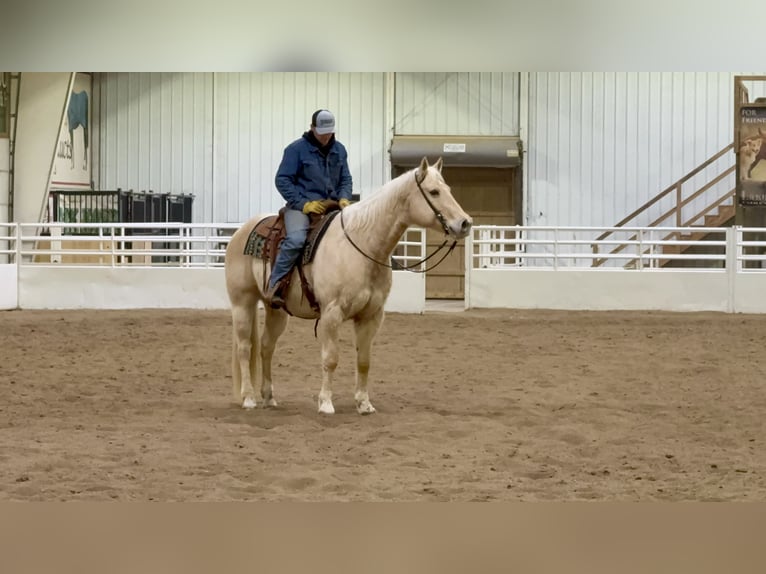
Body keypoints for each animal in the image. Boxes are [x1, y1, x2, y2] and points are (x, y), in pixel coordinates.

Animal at [224, 156, 472, 415]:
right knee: (244, 348)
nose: (465, 223)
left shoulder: (371, 316)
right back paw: (249, 398)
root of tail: (241, 232)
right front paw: (325, 403)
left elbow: (364, 361)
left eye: (448, 189)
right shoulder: (332, 314)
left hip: (276, 310)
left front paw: (363, 403)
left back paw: (269, 397)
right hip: (242, 303)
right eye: (434, 192)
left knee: (266, 347)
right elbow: (330, 359)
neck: (362, 247)